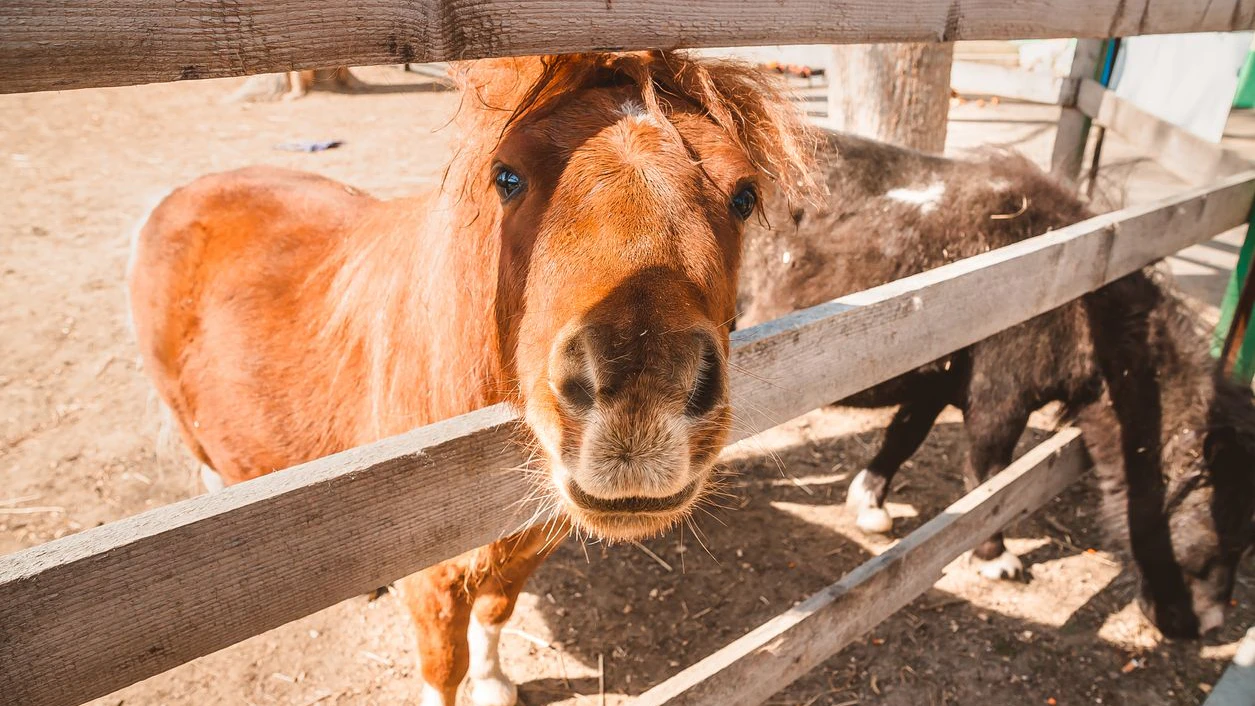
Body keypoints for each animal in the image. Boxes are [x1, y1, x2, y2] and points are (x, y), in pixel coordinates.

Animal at [127, 51, 816, 705]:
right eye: (506, 176)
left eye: (745, 195)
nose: (641, 394)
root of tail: (188, 193)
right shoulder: (433, 575)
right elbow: (444, 665)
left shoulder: (526, 544)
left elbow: (494, 616)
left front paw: (494, 683)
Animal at [739, 129, 1255, 638]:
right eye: (1220, 527)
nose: (1207, 627)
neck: (1078, 297)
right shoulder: (998, 402)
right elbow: (989, 479)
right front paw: (994, 557)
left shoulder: (935, 384)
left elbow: (903, 439)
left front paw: (869, 503)